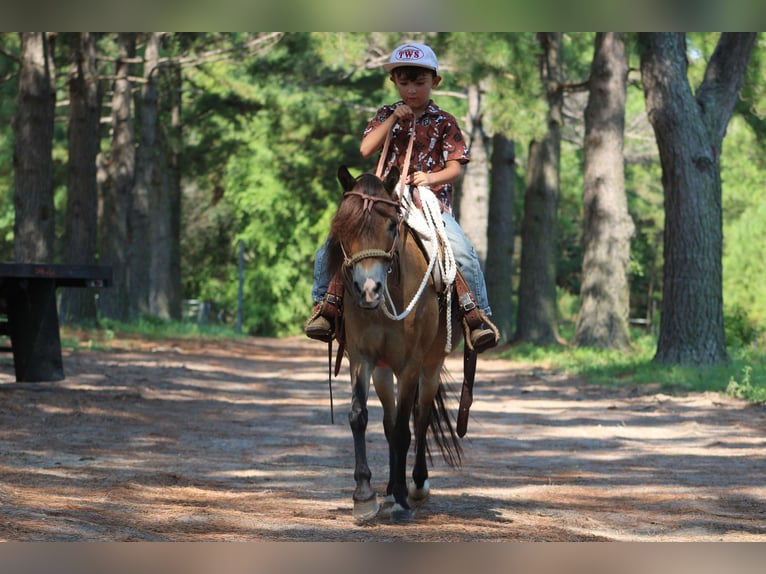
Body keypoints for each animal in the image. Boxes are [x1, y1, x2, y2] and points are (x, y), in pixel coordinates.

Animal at [326, 165, 463, 523]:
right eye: (344, 227)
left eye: (391, 225)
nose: (368, 290)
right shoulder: (362, 358)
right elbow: (360, 416)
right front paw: (364, 496)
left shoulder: (411, 364)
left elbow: (405, 429)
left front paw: (401, 500)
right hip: (384, 372)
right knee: (389, 422)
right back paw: (388, 491)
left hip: (430, 366)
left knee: (421, 417)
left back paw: (415, 486)